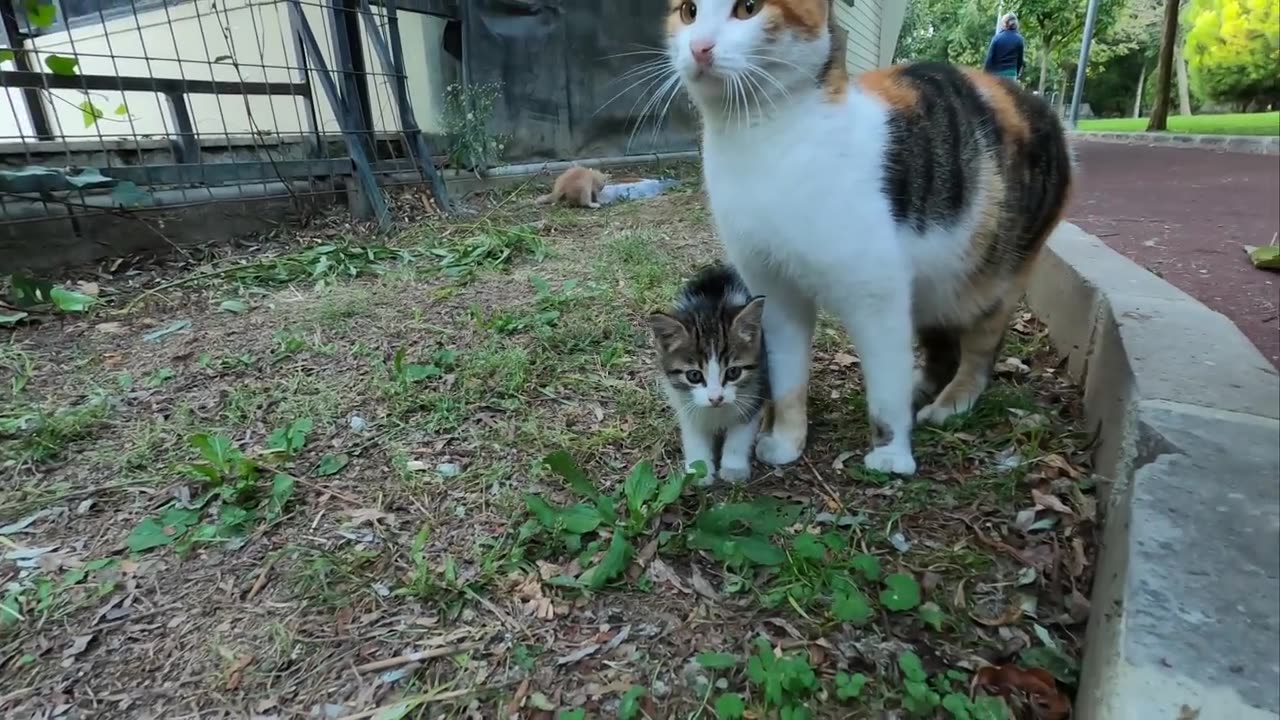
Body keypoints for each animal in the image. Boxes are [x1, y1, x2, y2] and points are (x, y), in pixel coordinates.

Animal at [650, 263, 768, 481]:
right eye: (694, 375)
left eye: (733, 372)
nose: (716, 398)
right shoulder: (683, 400)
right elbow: (693, 433)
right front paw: (699, 469)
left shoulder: (757, 387)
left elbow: (741, 432)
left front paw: (733, 468)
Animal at [665, 1, 1075, 476]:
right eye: (689, 12)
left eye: (748, 9)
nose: (699, 47)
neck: (763, 137)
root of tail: (1041, 105)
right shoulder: (775, 292)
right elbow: (788, 378)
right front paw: (786, 440)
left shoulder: (875, 294)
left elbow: (884, 388)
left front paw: (892, 455)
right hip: (935, 284)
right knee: (938, 343)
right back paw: (920, 385)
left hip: (994, 274)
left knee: (977, 350)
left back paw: (950, 403)